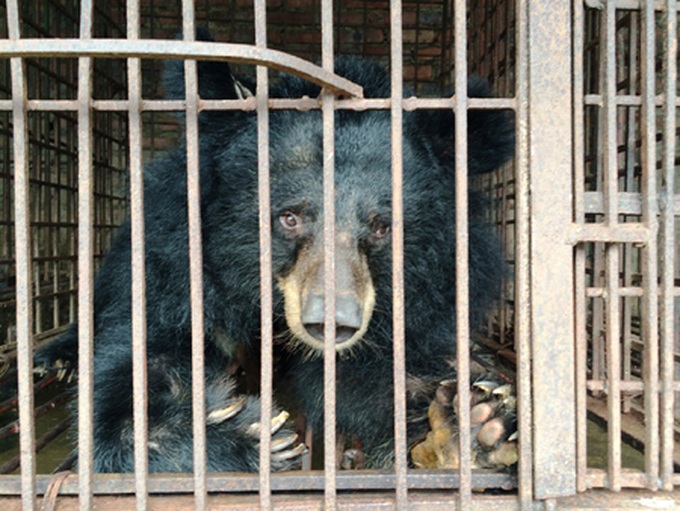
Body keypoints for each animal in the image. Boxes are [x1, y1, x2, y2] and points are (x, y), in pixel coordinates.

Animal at [35, 39, 515, 473]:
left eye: (382, 227)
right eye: (289, 218)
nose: (331, 324)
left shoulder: (430, 288)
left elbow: (381, 373)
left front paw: (471, 421)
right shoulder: (179, 259)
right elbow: (142, 358)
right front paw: (250, 434)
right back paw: (59, 359)